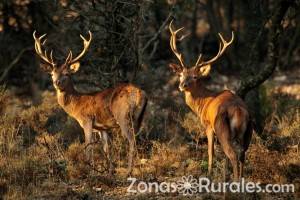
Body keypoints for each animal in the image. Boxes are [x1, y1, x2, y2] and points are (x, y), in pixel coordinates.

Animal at [32, 30, 148, 176]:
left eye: (67, 73)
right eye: (52, 73)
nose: (56, 82)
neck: (77, 104)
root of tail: (140, 94)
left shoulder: (87, 120)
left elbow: (88, 146)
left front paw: (88, 170)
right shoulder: (102, 128)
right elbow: (106, 149)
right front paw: (109, 171)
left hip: (123, 116)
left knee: (132, 140)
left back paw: (128, 171)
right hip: (140, 117)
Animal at [169, 21, 253, 180]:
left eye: (195, 76)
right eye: (181, 75)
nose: (182, 85)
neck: (204, 103)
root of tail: (239, 111)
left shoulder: (208, 125)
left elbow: (210, 151)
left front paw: (209, 173)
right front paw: (224, 174)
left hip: (222, 128)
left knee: (233, 155)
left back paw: (235, 181)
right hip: (248, 131)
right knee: (242, 153)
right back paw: (241, 178)